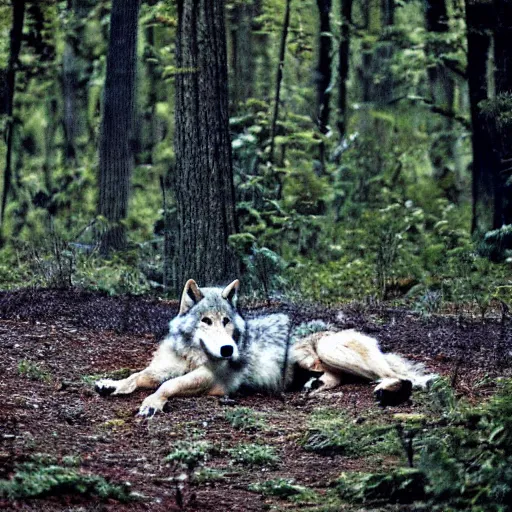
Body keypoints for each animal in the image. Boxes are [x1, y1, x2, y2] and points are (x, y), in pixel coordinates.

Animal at [95, 280, 432, 416]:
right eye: (207, 321)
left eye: (227, 321)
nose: (228, 350)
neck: (192, 353)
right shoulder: (161, 367)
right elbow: (138, 376)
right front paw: (111, 384)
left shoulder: (213, 380)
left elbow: (167, 386)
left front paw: (152, 403)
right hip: (314, 360)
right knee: (338, 377)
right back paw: (315, 385)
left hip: (330, 349)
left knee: (402, 377)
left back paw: (389, 390)